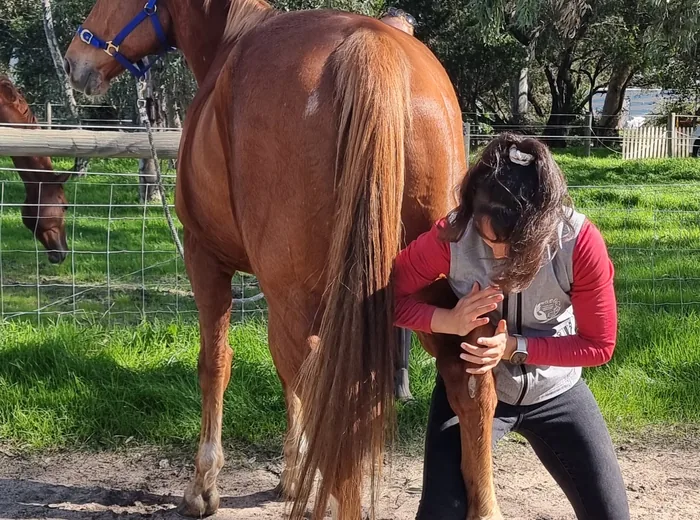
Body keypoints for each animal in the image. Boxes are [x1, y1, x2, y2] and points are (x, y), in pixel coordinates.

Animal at [64, 1, 501, 518]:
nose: (74, 61)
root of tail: (370, 46)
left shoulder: (206, 258)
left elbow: (216, 364)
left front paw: (204, 486)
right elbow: (282, 373)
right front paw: (293, 475)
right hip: (437, 294)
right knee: (467, 383)